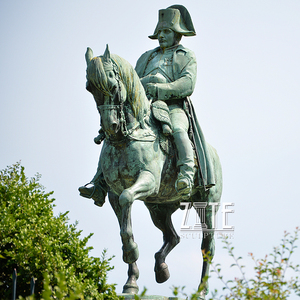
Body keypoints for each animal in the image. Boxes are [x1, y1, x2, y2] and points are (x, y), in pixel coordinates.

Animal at [82, 44, 223, 298]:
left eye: (113, 85)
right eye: (90, 88)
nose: (110, 127)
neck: (128, 138)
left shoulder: (146, 181)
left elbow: (128, 201)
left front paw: (131, 255)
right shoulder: (114, 194)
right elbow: (124, 229)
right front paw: (131, 282)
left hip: (207, 206)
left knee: (208, 246)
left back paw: (202, 289)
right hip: (159, 209)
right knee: (172, 237)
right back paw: (161, 268)